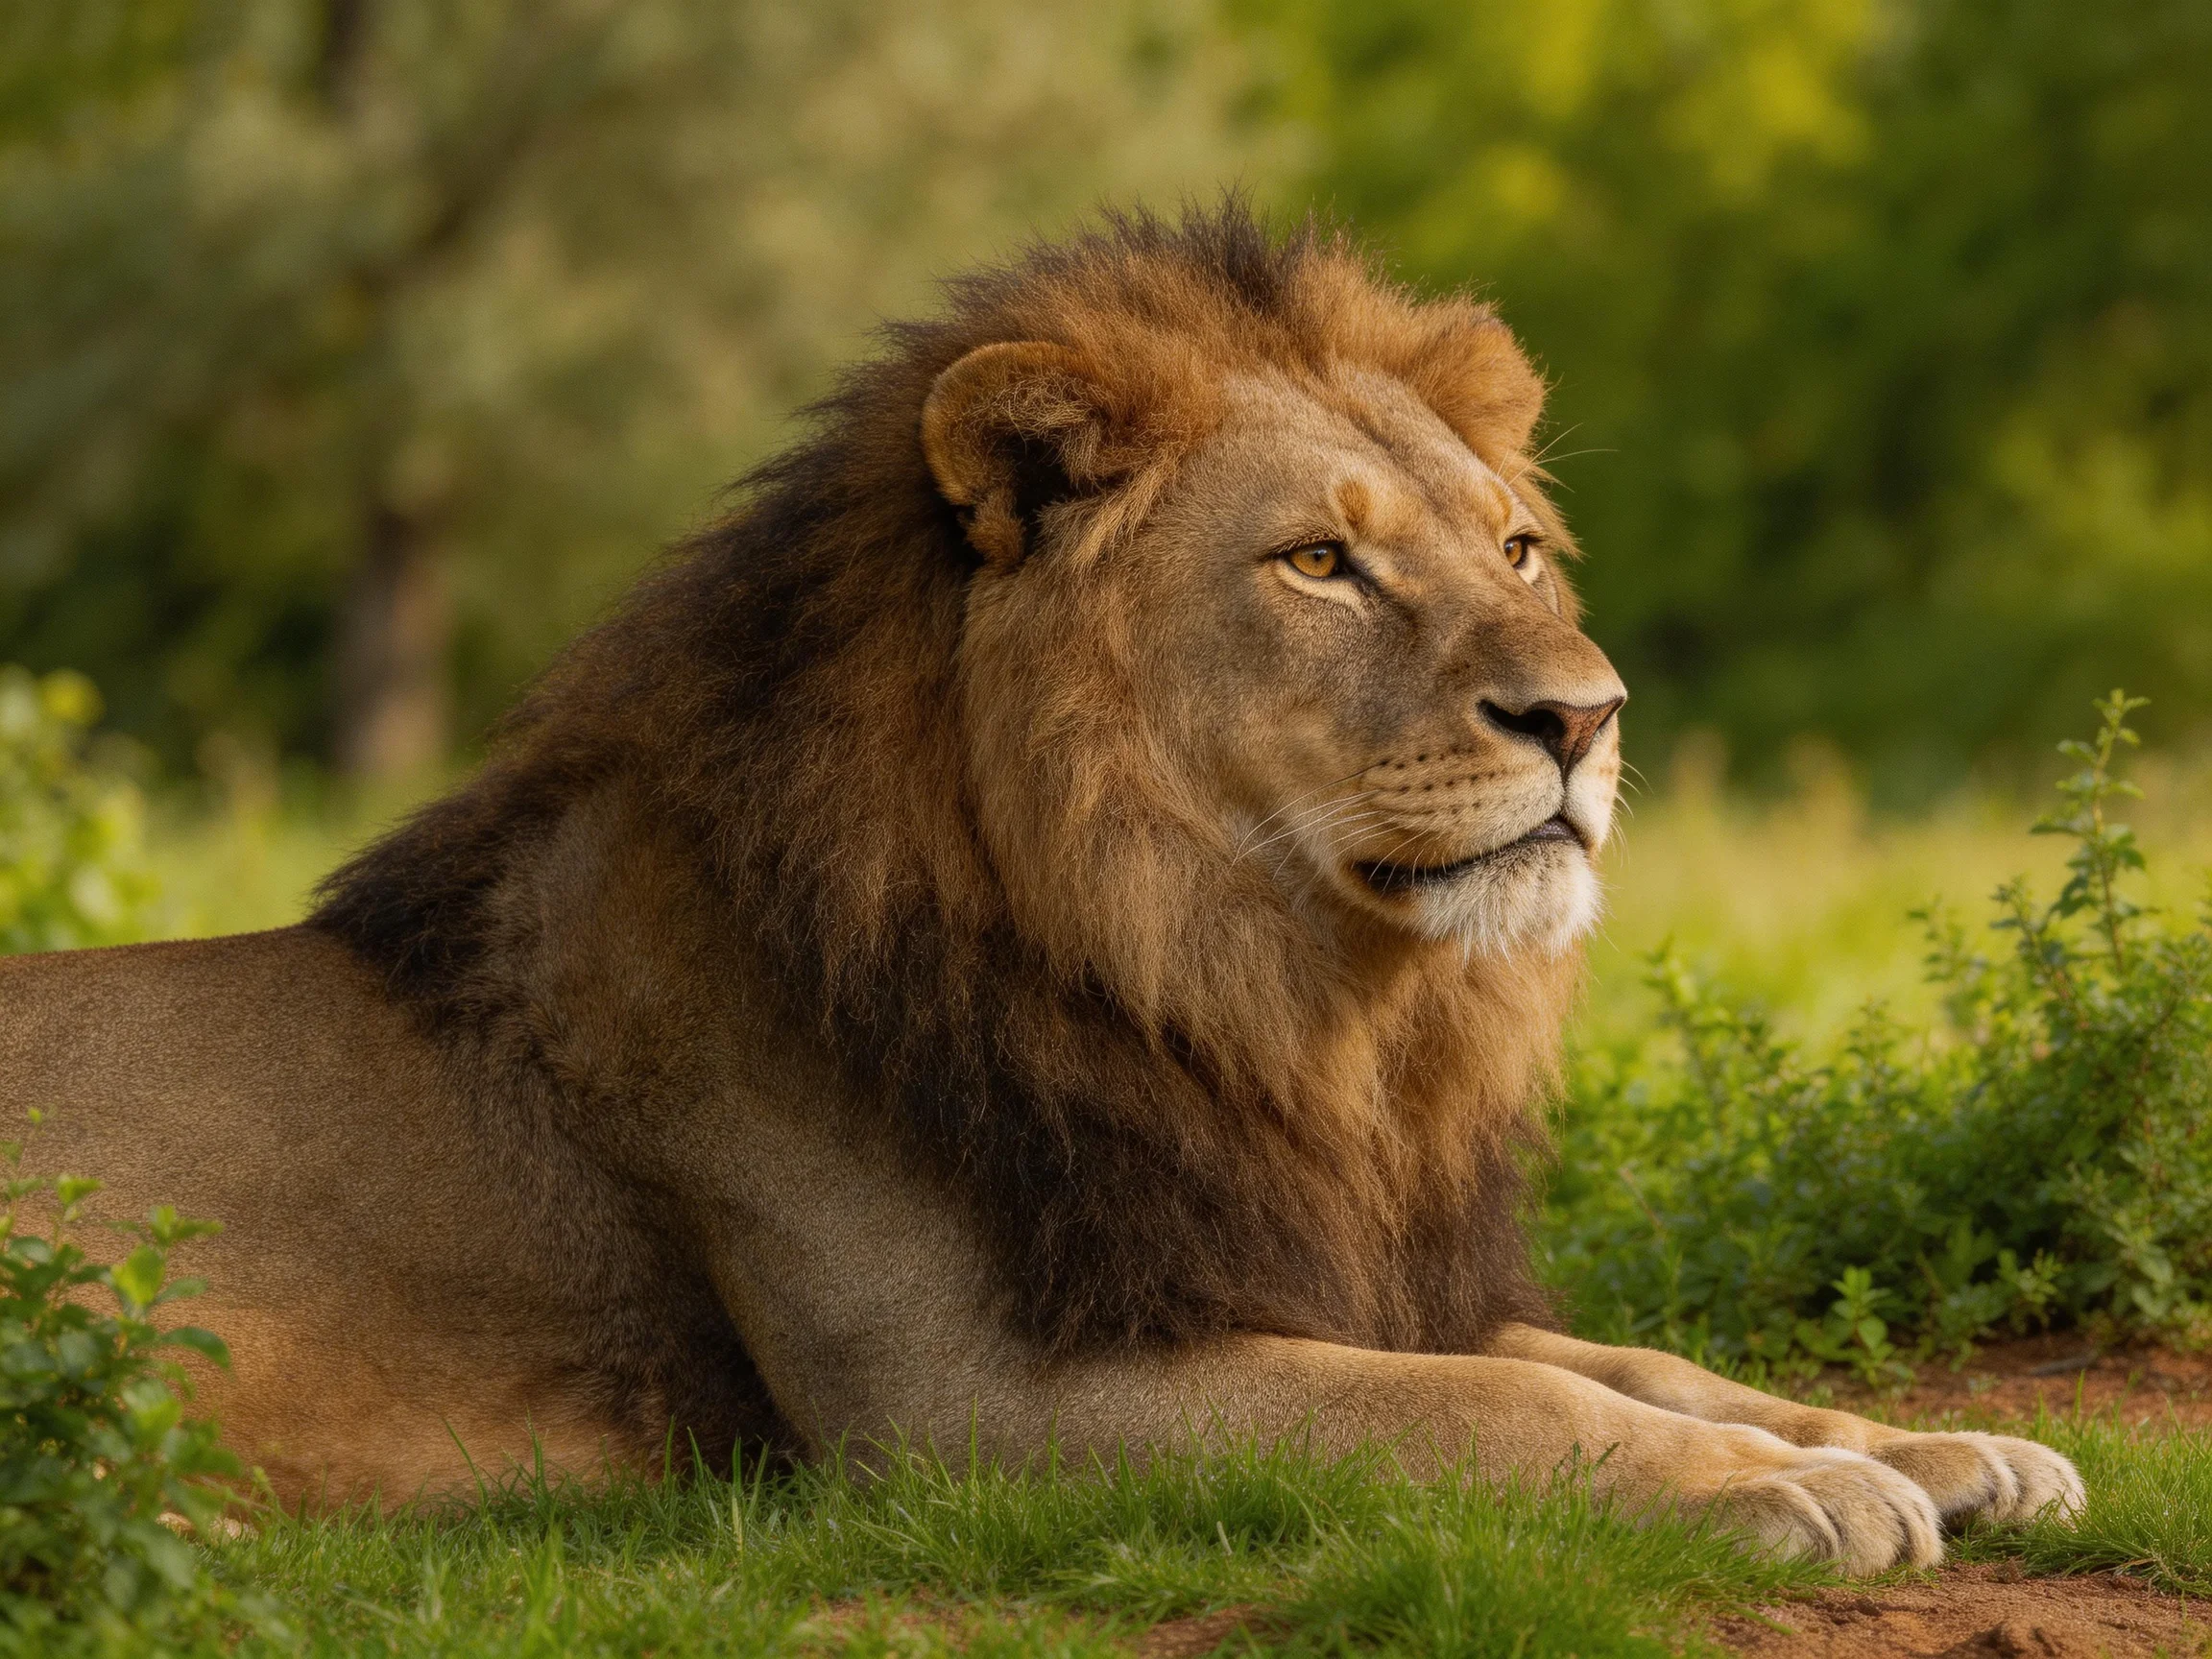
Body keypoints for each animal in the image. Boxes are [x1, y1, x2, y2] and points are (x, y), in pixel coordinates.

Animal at [0, 205, 2078, 1569]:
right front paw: (1783, 1493)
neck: (1256, 993)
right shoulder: (966, 1407)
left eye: (1510, 547)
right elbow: (1497, 1404)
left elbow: (1637, 1354)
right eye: (1320, 562)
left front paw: (1938, 1444)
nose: (1587, 716)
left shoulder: (1277, 1250)